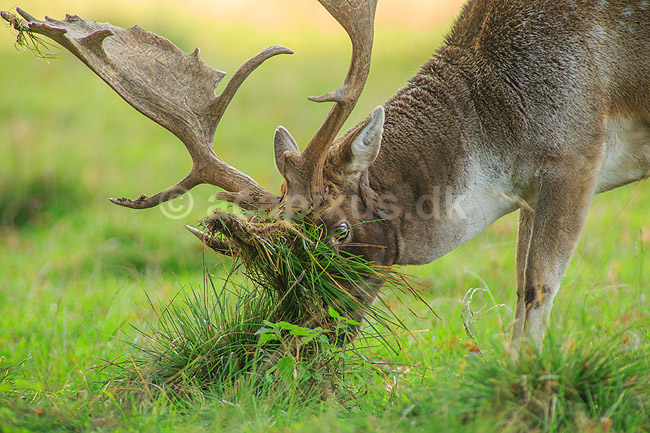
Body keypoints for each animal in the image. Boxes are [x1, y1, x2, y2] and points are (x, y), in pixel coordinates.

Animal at [3, 0, 649, 354]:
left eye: (340, 231)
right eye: (277, 244)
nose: (308, 333)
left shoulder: (576, 151)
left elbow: (536, 288)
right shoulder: (533, 191)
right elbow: (520, 290)